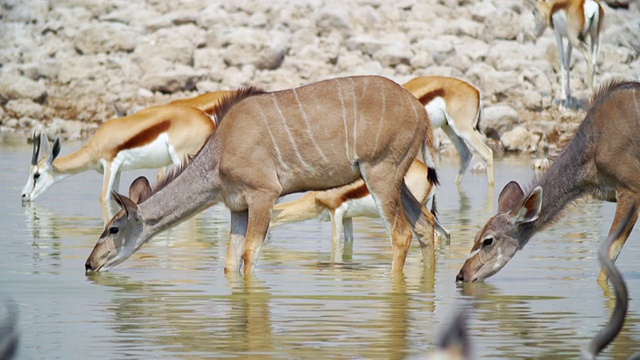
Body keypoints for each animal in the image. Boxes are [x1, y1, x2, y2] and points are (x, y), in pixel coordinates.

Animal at [21, 104, 215, 222]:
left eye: (36, 174)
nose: (24, 196)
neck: (99, 142)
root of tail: (209, 122)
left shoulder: (110, 165)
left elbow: (102, 197)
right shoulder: (119, 171)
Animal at [85, 74, 440, 274]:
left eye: (113, 228)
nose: (89, 264)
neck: (220, 149)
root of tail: (419, 112)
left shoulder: (263, 196)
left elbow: (249, 255)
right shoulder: (238, 207)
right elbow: (230, 261)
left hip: (380, 176)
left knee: (401, 234)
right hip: (396, 180)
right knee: (424, 227)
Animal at [458, 79, 640, 284]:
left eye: (487, 240)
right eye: (475, 237)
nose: (461, 275)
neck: (594, 145)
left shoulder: (630, 191)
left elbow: (608, 256)